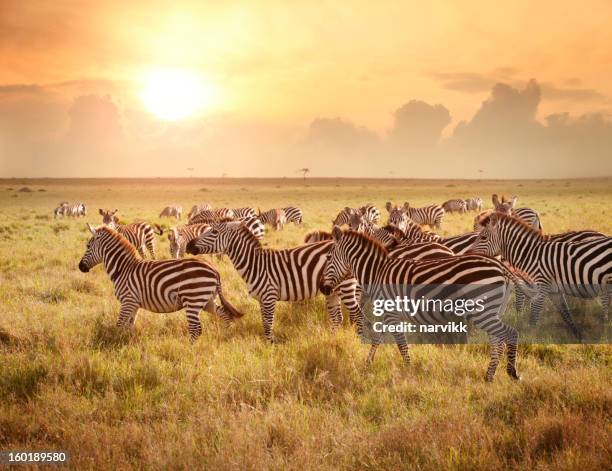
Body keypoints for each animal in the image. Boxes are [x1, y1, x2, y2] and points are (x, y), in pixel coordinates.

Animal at [79, 225, 244, 340]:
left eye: (88, 246)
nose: (80, 267)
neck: (123, 269)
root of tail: (214, 269)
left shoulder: (128, 301)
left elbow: (119, 325)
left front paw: (115, 343)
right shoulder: (134, 303)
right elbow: (129, 326)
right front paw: (128, 343)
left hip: (193, 300)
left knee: (196, 329)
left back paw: (190, 350)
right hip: (207, 300)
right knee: (224, 315)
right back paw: (225, 336)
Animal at [184, 223, 360, 342]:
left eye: (214, 231)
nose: (188, 245)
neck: (255, 264)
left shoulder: (269, 297)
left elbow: (268, 325)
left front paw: (270, 347)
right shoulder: (262, 299)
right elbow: (264, 323)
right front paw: (267, 345)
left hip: (345, 287)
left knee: (356, 314)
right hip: (332, 290)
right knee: (337, 318)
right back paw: (333, 339)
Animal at [320, 229, 536, 384]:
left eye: (328, 258)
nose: (323, 288)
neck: (378, 273)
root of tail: (501, 267)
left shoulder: (392, 314)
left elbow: (401, 344)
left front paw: (408, 370)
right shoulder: (388, 314)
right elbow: (377, 338)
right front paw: (368, 363)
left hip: (483, 311)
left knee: (510, 334)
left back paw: (512, 372)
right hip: (493, 311)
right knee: (498, 341)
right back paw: (489, 376)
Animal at [470, 212, 608, 338]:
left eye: (483, 237)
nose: (469, 253)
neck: (528, 252)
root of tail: (602, 234)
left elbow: (530, 307)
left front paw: (524, 327)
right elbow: (564, 312)